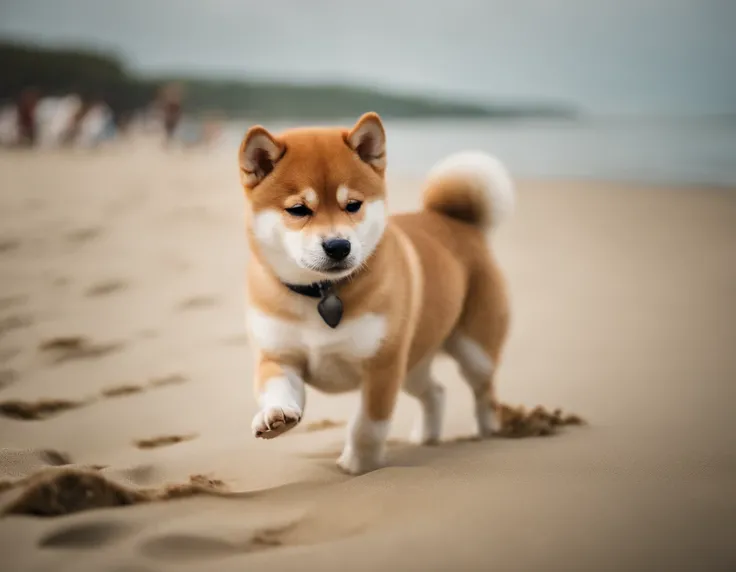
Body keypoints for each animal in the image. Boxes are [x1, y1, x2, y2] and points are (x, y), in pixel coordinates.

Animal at [239, 113, 516, 474]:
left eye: (353, 205)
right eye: (299, 209)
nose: (338, 246)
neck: (321, 292)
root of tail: (458, 222)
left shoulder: (383, 365)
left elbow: (368, 425)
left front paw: (359, 465)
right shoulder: (279, 355)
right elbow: (277, 388)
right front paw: (276, 416)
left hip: (471, 351)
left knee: (485, 391)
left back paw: (487, 430)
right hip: (413, 365)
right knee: (436, 392)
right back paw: (427, 436)